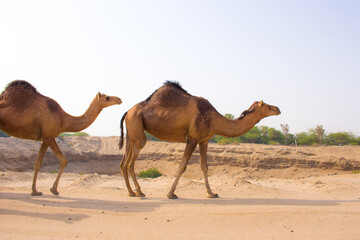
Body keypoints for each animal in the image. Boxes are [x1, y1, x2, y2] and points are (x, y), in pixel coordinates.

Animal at [119, 81, 282, 199]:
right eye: (267, 106)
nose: (278, 109)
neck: (215, 119)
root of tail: (127, 111)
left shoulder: (204, 140)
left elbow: (205, 166)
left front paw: (211, 193)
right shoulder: (192, 138)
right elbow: (183, 165)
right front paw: (171, 193)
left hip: (131, 131)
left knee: (124, 162)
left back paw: (131, 192)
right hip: (137, 128)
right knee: (131, 163)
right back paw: (140, 192)